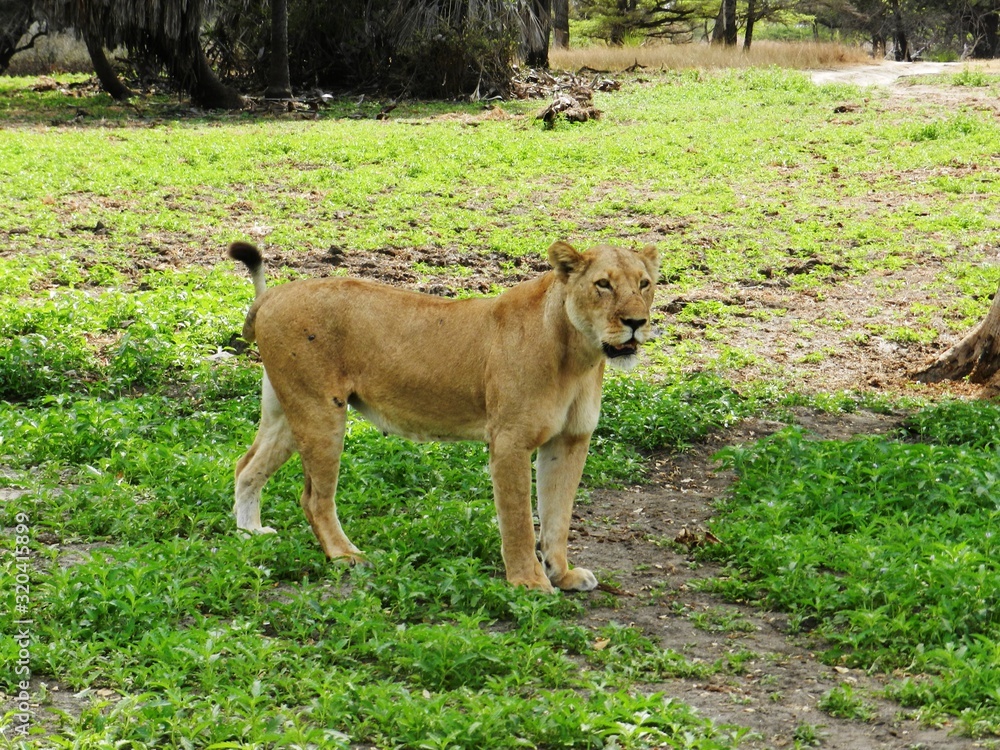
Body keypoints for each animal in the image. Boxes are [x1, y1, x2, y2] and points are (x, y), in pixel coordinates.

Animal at [228, 239, 659, 593]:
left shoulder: (569, 441)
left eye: (644, 284)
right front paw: (530, 582)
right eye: (603, 284)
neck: (578, 357)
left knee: (246, 467)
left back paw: (251, 534)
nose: (636, 323)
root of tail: (273, 295)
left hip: (287, 410)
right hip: (319, 411)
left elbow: (557, 516)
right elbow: (519, 519)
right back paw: (346, 556)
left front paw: (562, 574)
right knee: (313, 498)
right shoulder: (510, 441)